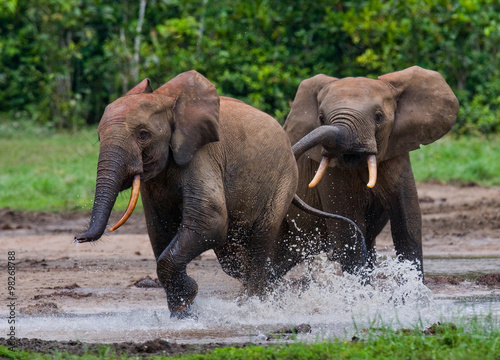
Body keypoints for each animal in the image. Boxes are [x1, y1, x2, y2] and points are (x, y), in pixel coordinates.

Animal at [74, 69, 364, 318]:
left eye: (143, 135)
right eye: (99, 138)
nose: (79, 238)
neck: (168, 99)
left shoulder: (202, 155)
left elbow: (209, 221)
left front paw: (188, 301)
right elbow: (159, 228)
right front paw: (182, 314)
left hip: (283, 181)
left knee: (260, 242)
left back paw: (251, 306)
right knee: (233, 256)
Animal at [280, 66, 458, 278]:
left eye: (379, 117)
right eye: (321, 118)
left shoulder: (397, 157)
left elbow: (408, 222)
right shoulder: (330, 175)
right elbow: (349, 231)